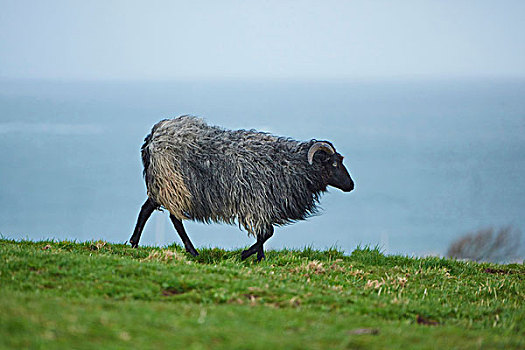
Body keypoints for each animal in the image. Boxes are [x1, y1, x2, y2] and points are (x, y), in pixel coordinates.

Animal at [129, 116, 354, 262]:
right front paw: (246, 254)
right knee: (173, 218)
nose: (351, 185)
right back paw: (191, 251)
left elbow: (264, 234)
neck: (291, 165)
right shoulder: (256, 201)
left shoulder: (264, 204)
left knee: (148, 209)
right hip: (173, 183)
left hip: (165, 184)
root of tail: (153, 136)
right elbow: (267, 232)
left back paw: (134, 243)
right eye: (334, 164)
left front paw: (259, 257)